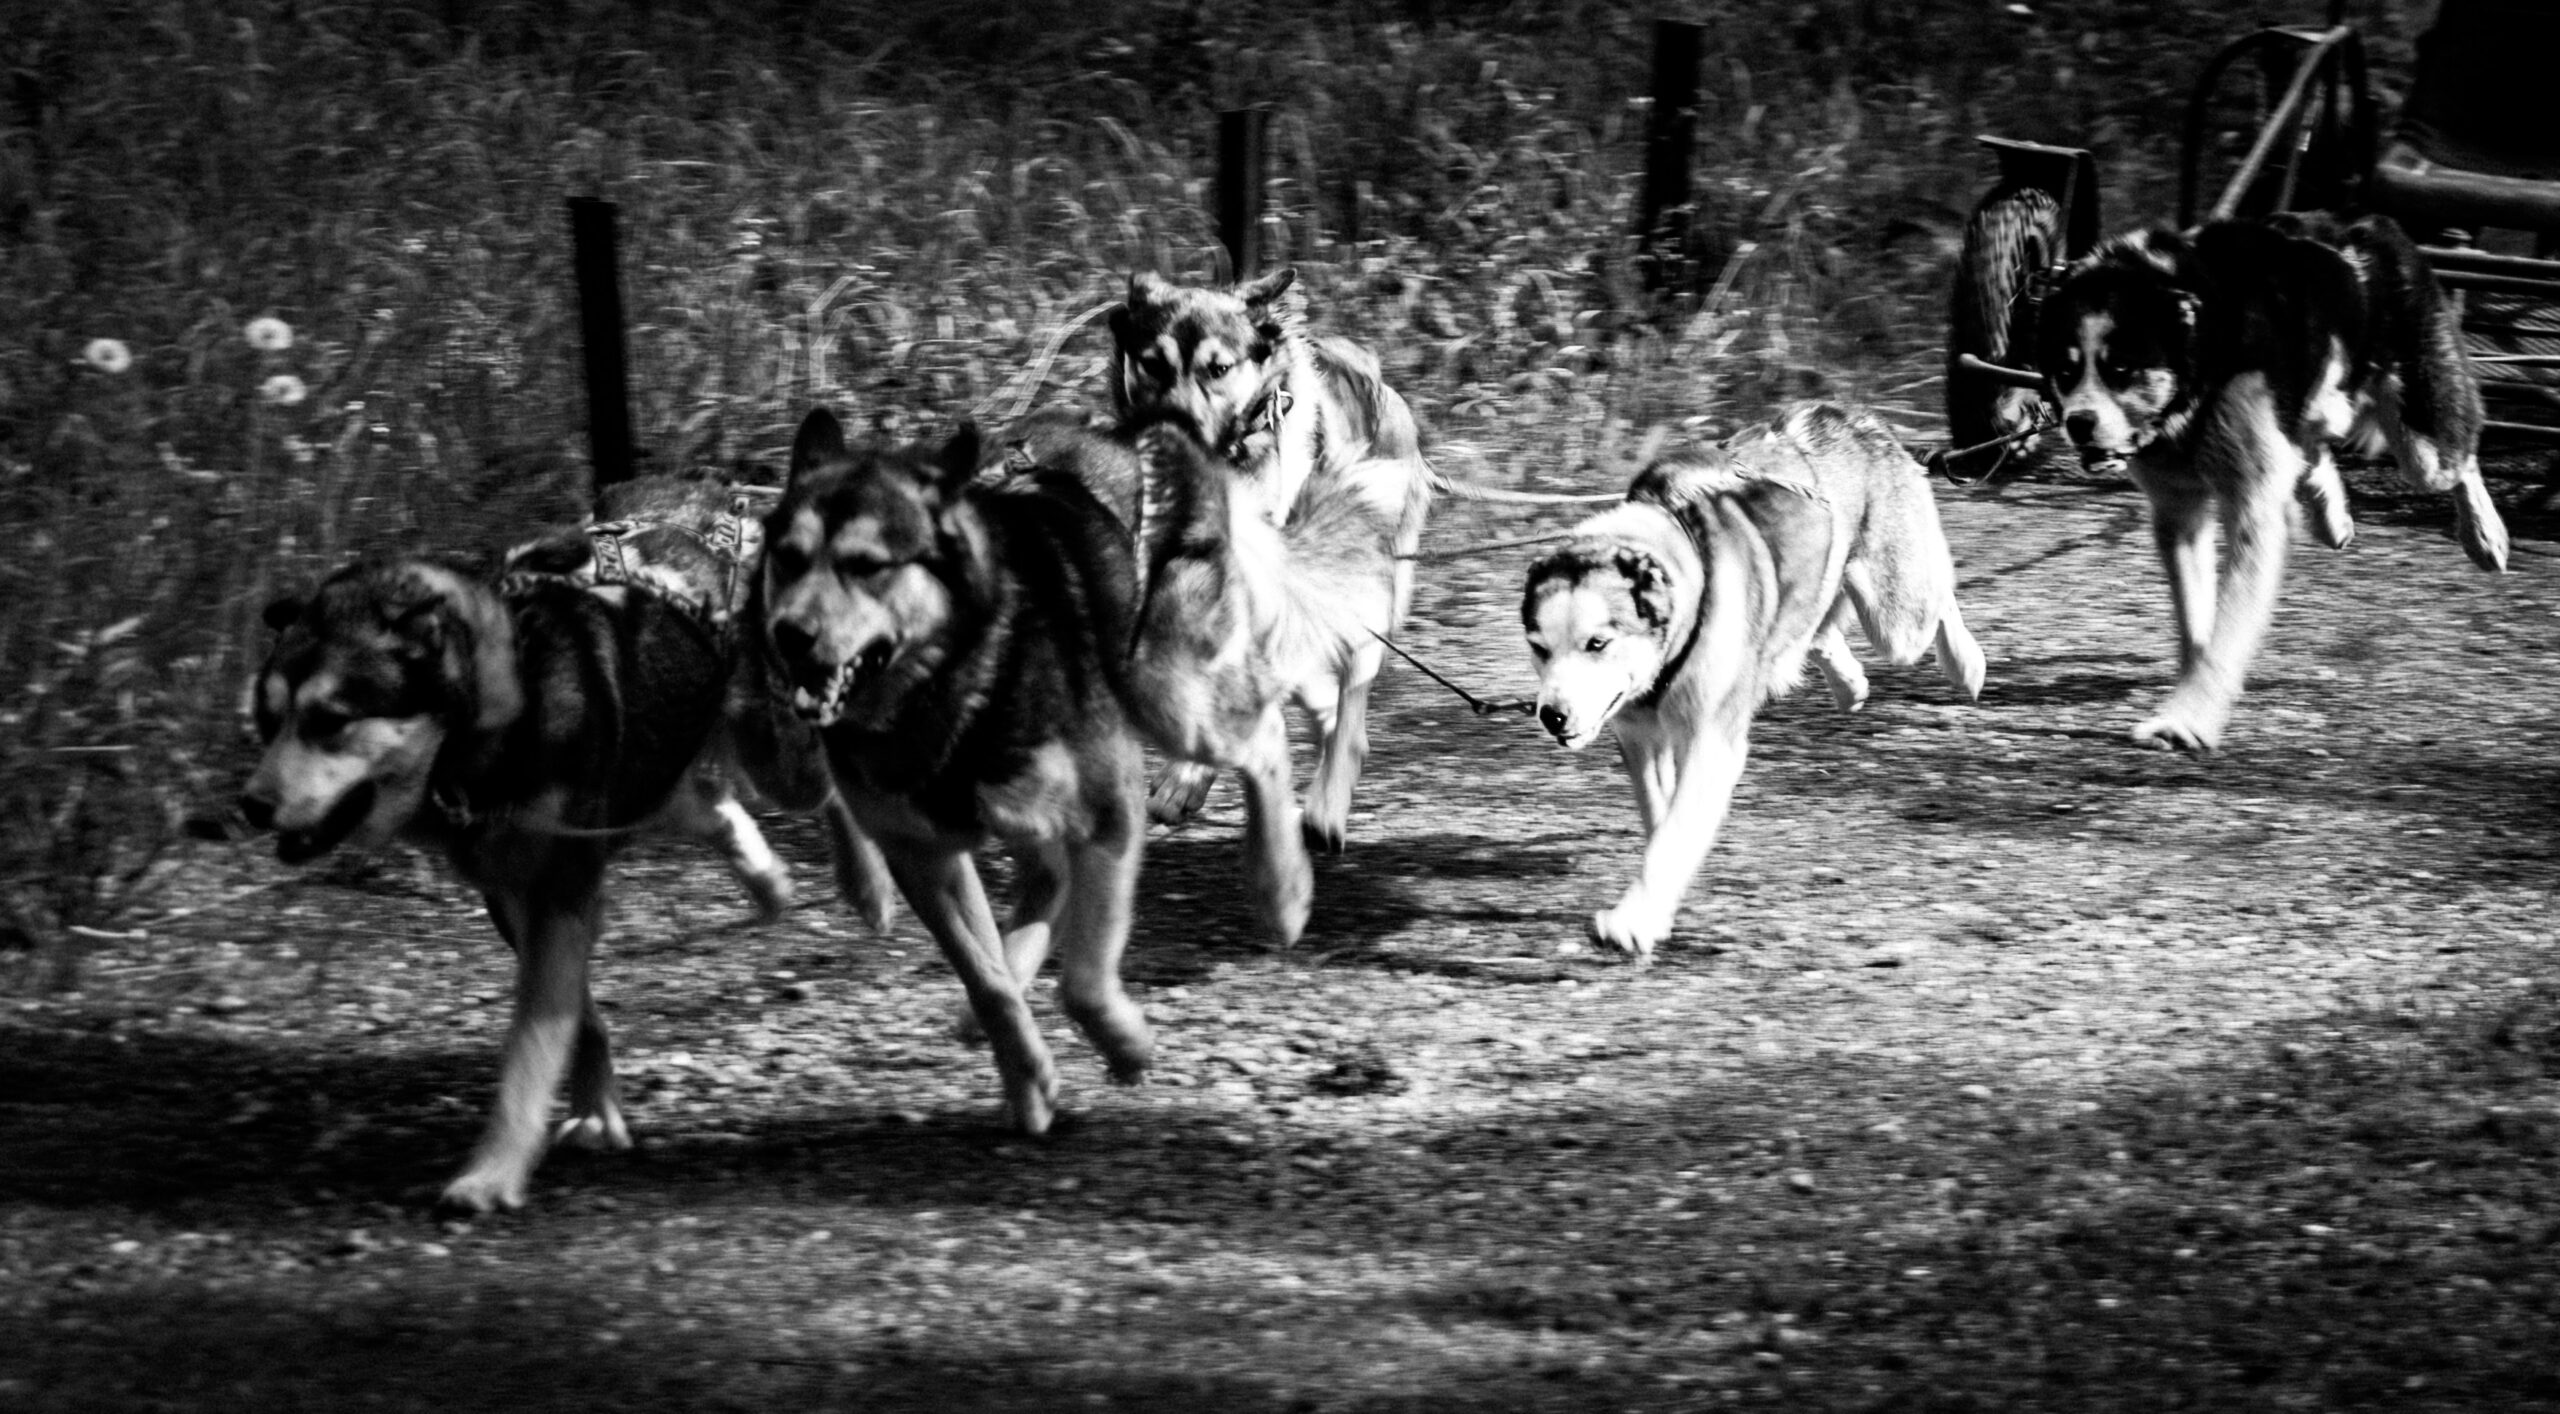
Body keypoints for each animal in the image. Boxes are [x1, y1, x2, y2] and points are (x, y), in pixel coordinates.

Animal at [752, 402, 1157, 1132]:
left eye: (867, 566)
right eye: (788, 559)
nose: (788, 635)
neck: (949, 687)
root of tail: (1082, 432)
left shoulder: (1108, 811)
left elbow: (1084, 980)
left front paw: (1126, 1047)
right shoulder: (922, 855)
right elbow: (986, 978)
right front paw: (1029, 1081)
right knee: (1043, 889)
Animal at [1100, 266, 1433, 850]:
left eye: (1218, 369)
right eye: (1153, 363)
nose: (1174, 427)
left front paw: (1187, 777)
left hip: (1362, 590)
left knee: (1351, 711)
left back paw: (1328, 803)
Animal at [1515, 409, 1976, 963]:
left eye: (1598, 643)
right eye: (1539, 647)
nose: (1552, 715)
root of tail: (1849, 416)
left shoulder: (1712, 744)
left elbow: (1674, 834)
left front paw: (1633, 921)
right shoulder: (1641, 740)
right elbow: (1663, 822)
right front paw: (1659, 906)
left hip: (1897, 623)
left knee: (1939, 596)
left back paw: (1966, 661)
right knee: (1818, 629)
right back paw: (1848, 683)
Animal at [2037, 215, 2519, 758]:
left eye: (2120, 367)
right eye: (2066, 370)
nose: (2078, 423)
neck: (2202, 350)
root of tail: (2374, 226)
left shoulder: (2252, 508)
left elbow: (2227, 627)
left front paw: (2186, 719)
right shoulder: (2179, 512)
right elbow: (2196, 621)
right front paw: (2195, 692)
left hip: (2421, 441)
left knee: (2461, 457)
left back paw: (2485, 536)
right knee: (2313, 447)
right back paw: (2330, 514)